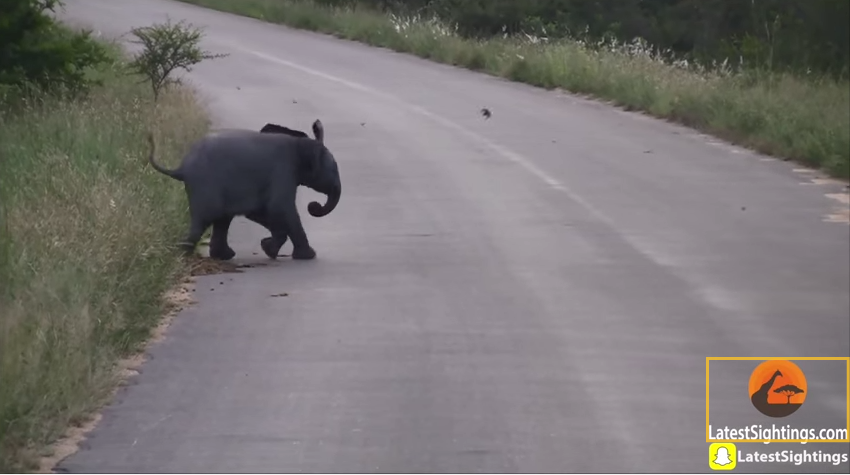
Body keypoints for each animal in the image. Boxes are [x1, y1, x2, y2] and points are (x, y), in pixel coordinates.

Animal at [147, 119, 340, 260]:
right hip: (205, 186)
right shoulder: (282, 171)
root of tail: (182, 169)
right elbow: (279, 208)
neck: (300, 143)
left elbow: (261, 212)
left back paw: (223, 256)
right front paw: (307, 256)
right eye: (333, 170)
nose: (313, 206)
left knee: (222, 220)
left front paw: (268, 248)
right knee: (206, 220)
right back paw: (183, 256)